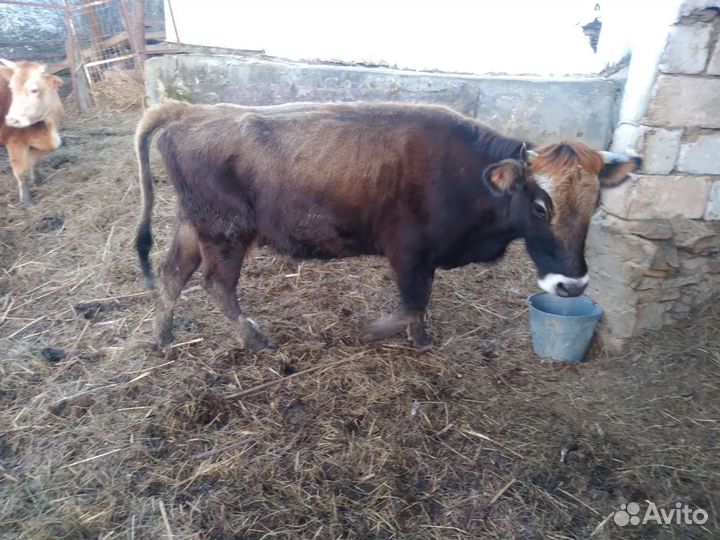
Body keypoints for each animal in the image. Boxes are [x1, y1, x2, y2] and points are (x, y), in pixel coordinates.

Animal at [0, 59, 64, 206]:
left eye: (34, 90)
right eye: (11, 88)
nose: (11, 120)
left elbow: (35, 163)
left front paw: (39, 182)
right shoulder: (15, 143)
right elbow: (21, 171)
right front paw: (27, 200)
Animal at [134, 100, 640, 352]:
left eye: (595, 203)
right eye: (538, 206)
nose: (572, 285)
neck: (467, 174)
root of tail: (192, 112)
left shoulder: (425, 257)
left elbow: (419, 303)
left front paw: (418, 338)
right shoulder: (409, 252)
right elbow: (413, 302)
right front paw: (389, 334)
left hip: (194, 224)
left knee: (171, 274)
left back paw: (162, 339)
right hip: (226, 233)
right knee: (216, 284)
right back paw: (255, 340)